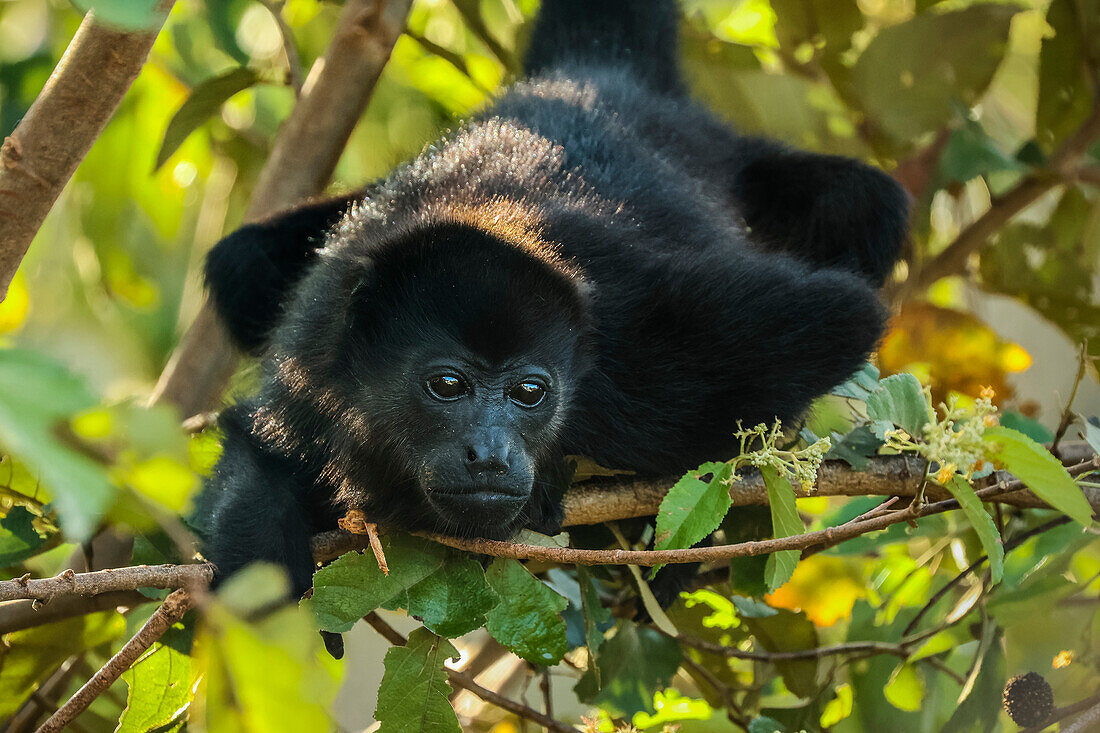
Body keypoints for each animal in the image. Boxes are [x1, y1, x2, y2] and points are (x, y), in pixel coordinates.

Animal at [198, 0, 910, 603]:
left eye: (530, 393)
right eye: (447, 385)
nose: (489, 453)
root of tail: (591, 78)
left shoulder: (645, 356)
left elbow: (843, 315)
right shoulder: (315, 368)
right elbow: (261, 447)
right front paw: (259, 576)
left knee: (870, 206)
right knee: (239, 263)